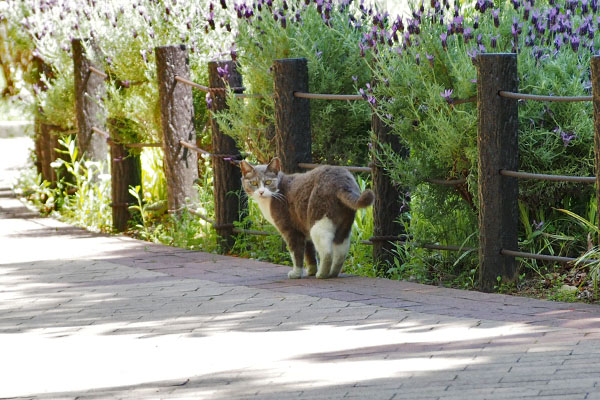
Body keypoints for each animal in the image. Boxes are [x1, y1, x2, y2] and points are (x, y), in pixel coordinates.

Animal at [240, 158, 376, 280]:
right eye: (254, 183)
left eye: (268, 182)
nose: (261, 192)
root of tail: (343, 182)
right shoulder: (304, 228)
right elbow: (309, 253)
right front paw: (311, 271)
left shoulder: (291, 230)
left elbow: (296, 253)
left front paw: (296, 273)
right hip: (344, 224)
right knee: (341, 250)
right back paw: (333, 273)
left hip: (318, 220)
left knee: (327, 252)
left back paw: (322, 274)